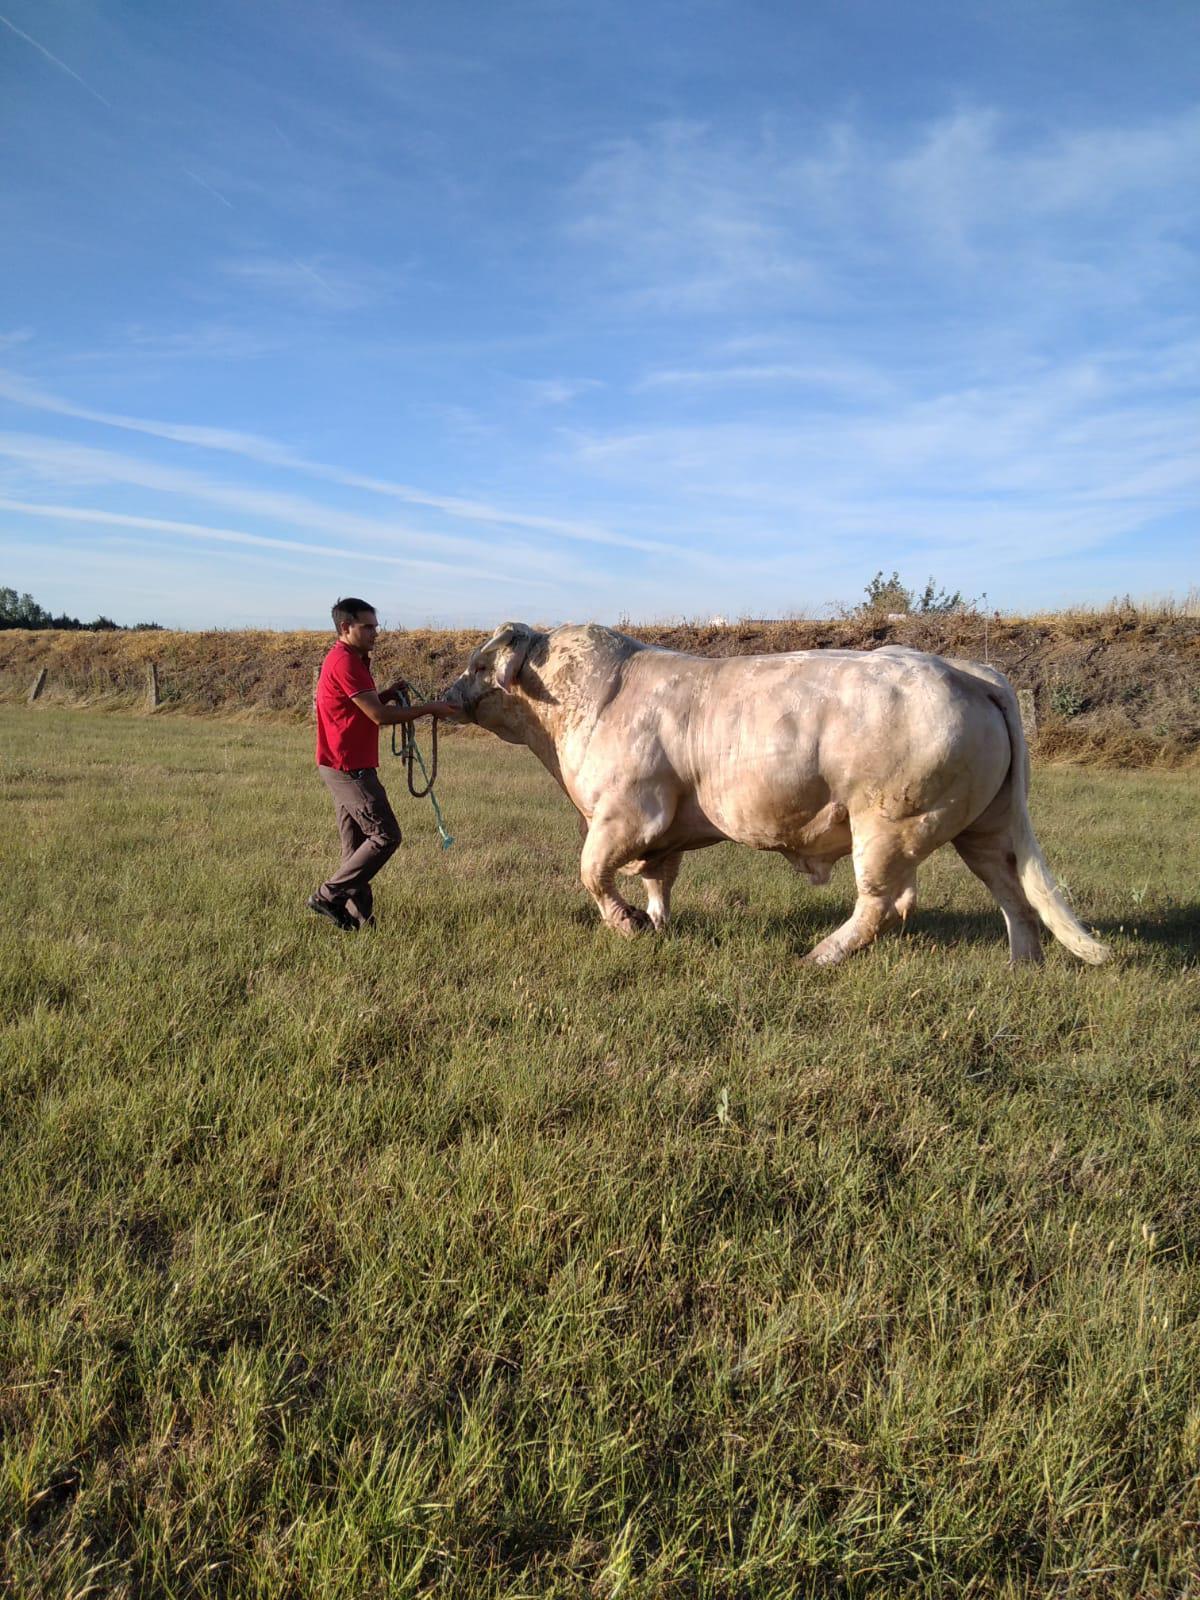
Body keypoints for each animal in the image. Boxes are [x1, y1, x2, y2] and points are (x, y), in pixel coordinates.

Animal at [448, 624, 1113, 966]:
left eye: (480, 664)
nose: (448, 691)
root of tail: (963, 669)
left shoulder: (628, 813)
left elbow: (592, 872)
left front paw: (628, 925)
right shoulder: (662, 832)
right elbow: (658, 879)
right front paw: (656, 925)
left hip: (890, 824)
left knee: (878, 903)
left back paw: (820, 955)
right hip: (981, 825)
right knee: (1011, 893)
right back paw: (1022, 965)